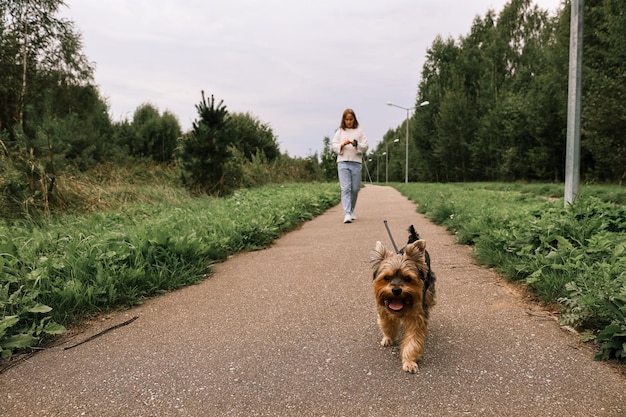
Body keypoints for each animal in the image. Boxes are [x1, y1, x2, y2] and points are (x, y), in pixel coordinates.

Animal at [370, 226, 434, 372]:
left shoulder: (417, 317)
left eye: (408, 278)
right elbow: (386, 324)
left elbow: (412, 340)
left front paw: (409, 362)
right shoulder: (383, 309)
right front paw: (388, 338)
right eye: (386, 278)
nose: (396, 290)